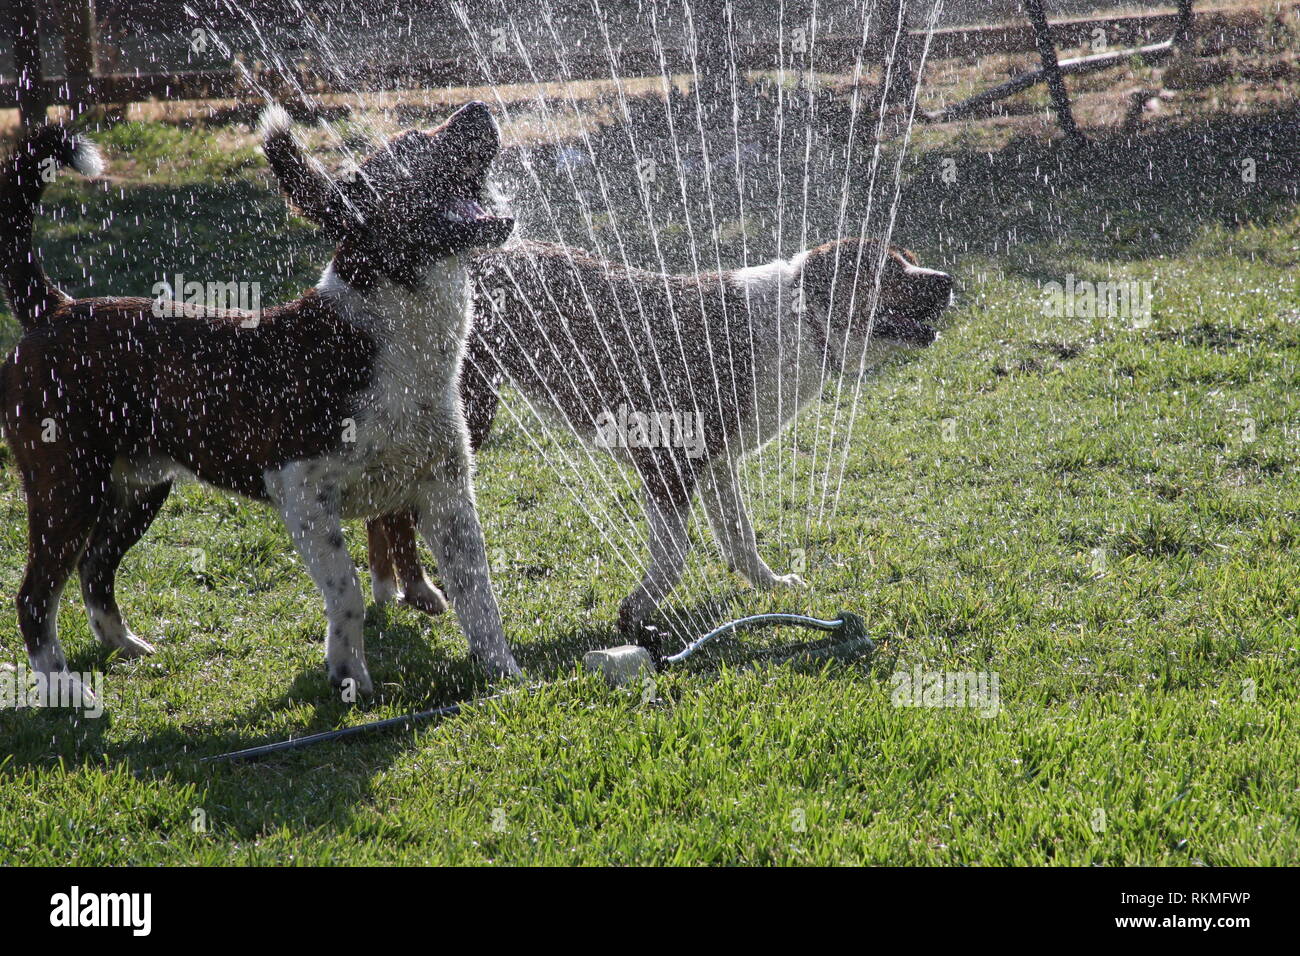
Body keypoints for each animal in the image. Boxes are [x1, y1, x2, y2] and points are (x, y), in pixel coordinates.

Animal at [6, 102, 522, 702]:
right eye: (411, 144)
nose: (480, 109)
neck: (384, 331)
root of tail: (53, 308)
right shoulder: (300, 491)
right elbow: (346, 590)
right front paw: (349, 674)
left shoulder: (445, 491)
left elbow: (478, 593)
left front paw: (504, 675)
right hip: (67, 488)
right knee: (35, 597)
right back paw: (65, 689)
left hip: (138, 489)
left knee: (95, 568)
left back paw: (125, 645)